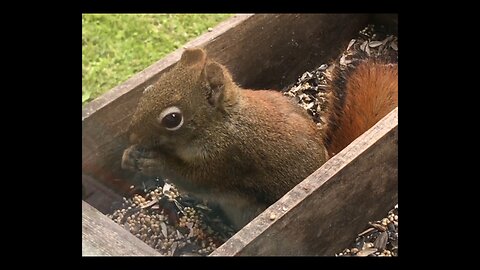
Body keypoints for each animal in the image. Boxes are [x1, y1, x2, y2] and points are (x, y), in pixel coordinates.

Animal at [120, 47, 398, 229]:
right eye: (148, 89)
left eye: (172, 119)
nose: (131, 135)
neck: (219, 123)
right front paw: (129, 155)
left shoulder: (228, 156)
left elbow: (195, 179)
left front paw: (155, 162)